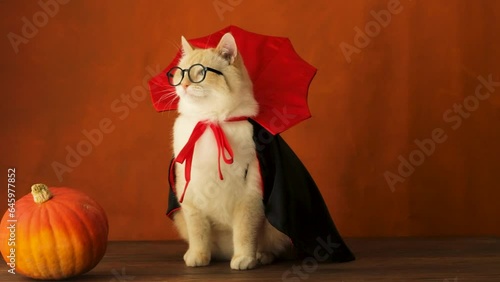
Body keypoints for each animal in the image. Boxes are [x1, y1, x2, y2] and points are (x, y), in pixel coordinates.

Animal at [170, 33, 292, 270]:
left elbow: (244, 233)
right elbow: (198, 233)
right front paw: (198, 257)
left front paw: (244, 259)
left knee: (270, 247)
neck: (210, 120)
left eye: (200, 73)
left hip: (275, 230)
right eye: (181, 73)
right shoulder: (190, 197)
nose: (185, 85)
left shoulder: (250, 197)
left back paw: (259, 256)